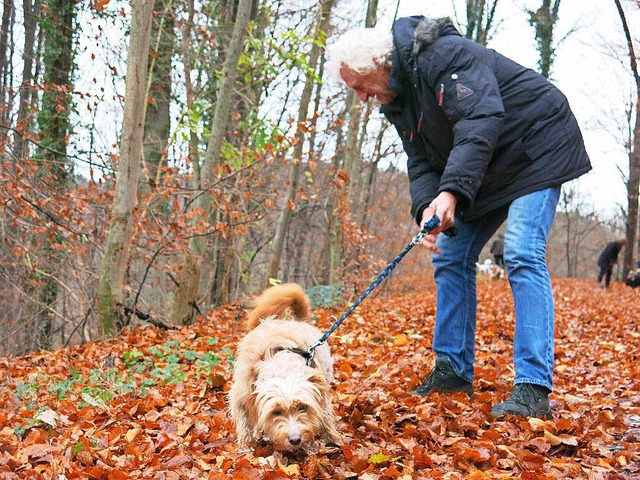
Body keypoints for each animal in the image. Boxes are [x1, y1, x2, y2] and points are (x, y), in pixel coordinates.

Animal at [229, 282, 340, 450]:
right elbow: (244, 420)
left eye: (302, 407)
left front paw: (334, 441)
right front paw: (247, 445)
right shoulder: (242, 393)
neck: (280, 362)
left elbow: (326, 415)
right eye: (276, 412)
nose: (295, 439)